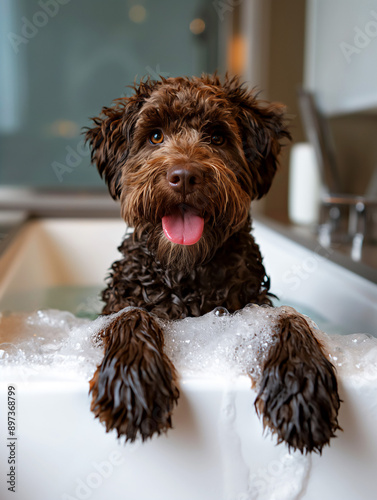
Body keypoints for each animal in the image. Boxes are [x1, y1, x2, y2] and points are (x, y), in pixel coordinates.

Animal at [85, 74, 340, 454]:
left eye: (217, 137)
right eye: (155, 135)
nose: (184, 176)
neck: (187, 274)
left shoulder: (252, 304)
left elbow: (288, 317)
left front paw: (301, 384)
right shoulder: (116, 305)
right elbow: (130, 316)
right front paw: (132, 379)